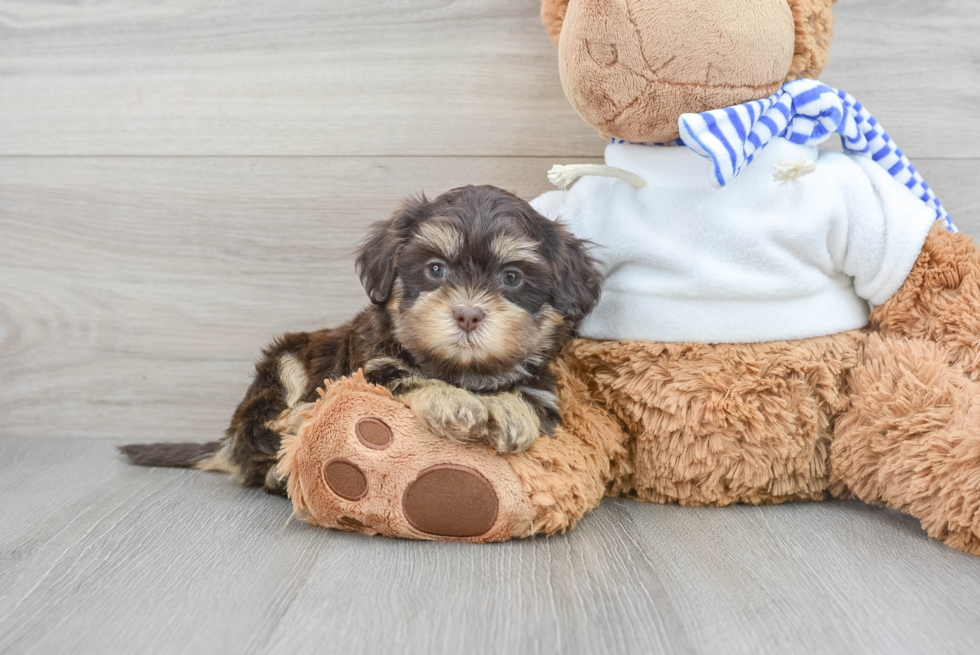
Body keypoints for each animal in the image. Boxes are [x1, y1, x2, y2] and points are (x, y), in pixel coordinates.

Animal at [118, 183, 600, 492]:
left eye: (512, 277)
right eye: (435, 270)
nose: (467, 314)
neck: (460, 370)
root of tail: (229, 443)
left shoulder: (545, 387)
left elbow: (529, 397)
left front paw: (510, 413)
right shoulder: (370, 366)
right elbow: (406, 376)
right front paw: (454, 403)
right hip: (283, 361)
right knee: (264, 435)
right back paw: (298, 421)